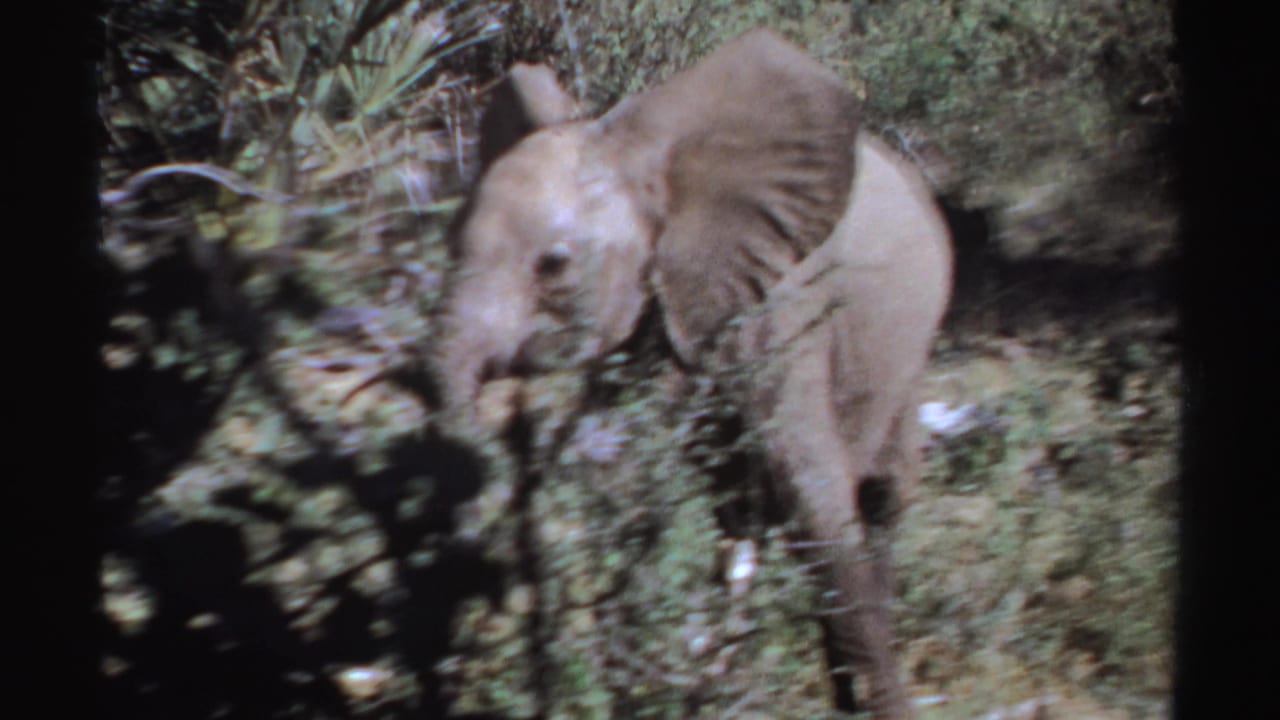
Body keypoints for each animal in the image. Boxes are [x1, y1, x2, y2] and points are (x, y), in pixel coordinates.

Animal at [435, 30, 952, 719]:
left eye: (554, 265)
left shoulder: (782, 299)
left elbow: (814, 496)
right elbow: (634, 485)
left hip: (914, 342)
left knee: (878, 497)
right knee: (742, 517)